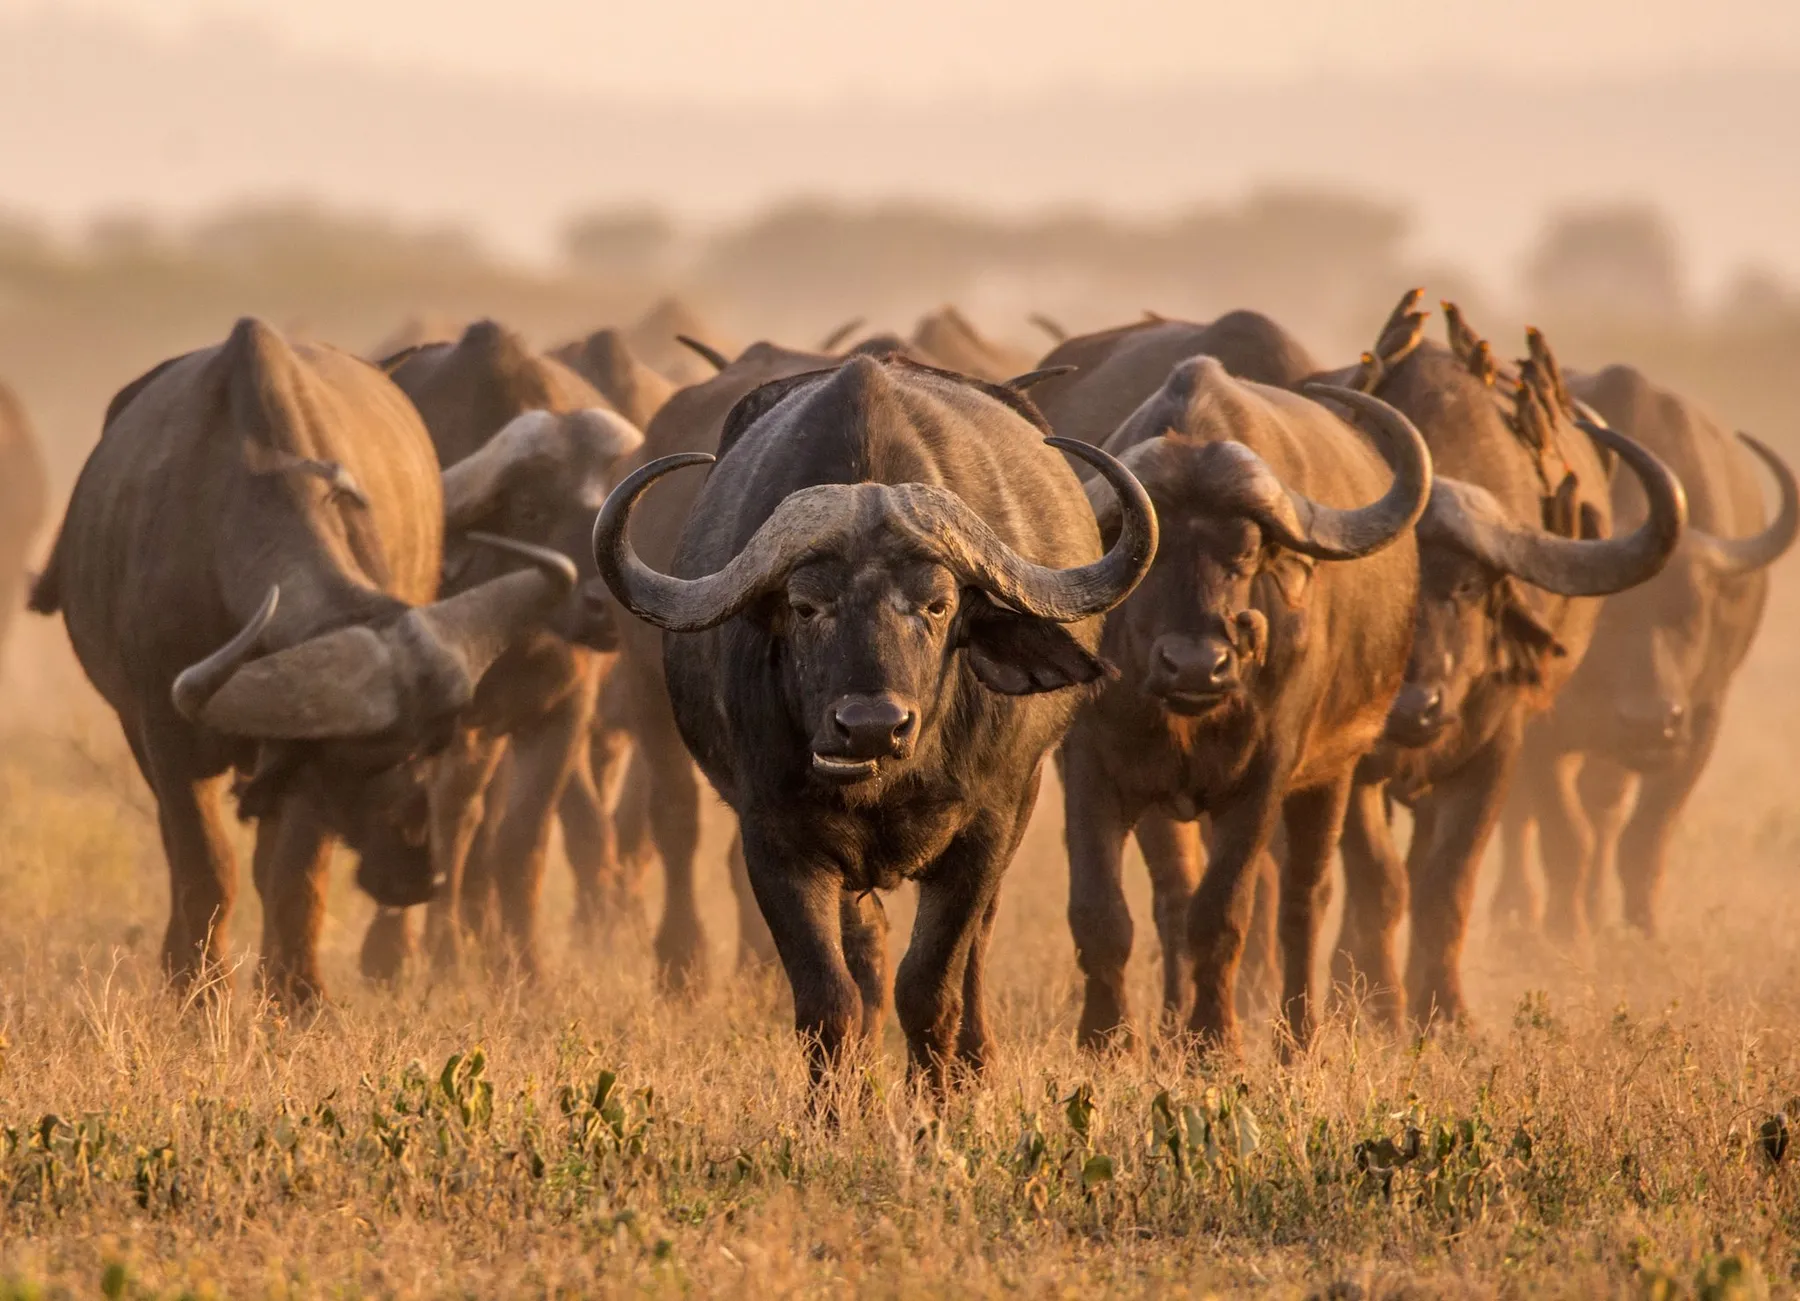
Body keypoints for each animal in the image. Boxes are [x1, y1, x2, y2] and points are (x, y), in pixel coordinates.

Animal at [29, 319, 571, 1000]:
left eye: (433, 747)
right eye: (360, 760)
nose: (418, 874)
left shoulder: (297, 769)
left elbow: (294, 872)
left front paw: (296, 993)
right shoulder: (165, 734)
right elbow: (205, 864)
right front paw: (198, 990)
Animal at [595, 354, 1156, 1087]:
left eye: (939, 605)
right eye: (806, 606)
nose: (870, 725)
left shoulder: (983, 831)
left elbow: (931, 988)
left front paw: (936, 1101)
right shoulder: (775, 840)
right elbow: (829, 999)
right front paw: (835, 1107)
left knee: (975, 946)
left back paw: (974, 1062)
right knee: (866, 956)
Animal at [1494, 365, 1796, 939]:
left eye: (1692, 612)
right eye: (1605, 616)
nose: (1649, 721)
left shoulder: (1701, 723)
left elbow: (1644, 838)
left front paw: (1643, 931)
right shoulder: (1540, 727)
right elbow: (1563, 834)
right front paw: (1565, 932)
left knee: (1604, 806)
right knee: (1526, 816)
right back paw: (1519, 911)